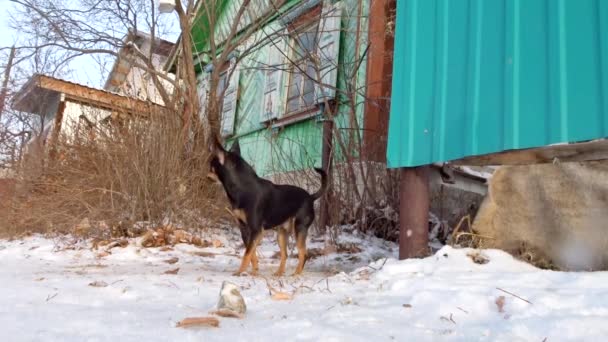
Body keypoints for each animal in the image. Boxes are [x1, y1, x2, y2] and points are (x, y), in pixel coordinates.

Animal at [208, 138, 328, 276]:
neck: (242, 187)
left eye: (211, 166)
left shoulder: (256, 230)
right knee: (285, 254)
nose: (206, 175)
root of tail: (311, 197)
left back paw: (296, 274)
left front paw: (240, 272)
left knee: (304, 253)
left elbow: (247, 253)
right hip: (281, 234)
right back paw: (279, 273)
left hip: (299, 228)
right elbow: (251, 253)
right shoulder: (245, 229)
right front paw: (254, 272)